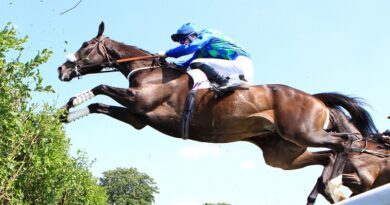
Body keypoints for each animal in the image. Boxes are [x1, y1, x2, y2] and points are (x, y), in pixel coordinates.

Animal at [56, 22, 376, 200]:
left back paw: (335, 187)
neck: (148, 70)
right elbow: (96, 104)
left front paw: (67, 104)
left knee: (345, 143)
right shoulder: (138, 118)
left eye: (86, 45)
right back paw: (329, 188)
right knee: (326, 157)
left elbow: (99, 87)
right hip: (283, 153)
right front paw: (62, 115)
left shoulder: (140, 102)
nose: (62, 69)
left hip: (304, 132)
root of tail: (316, 99)